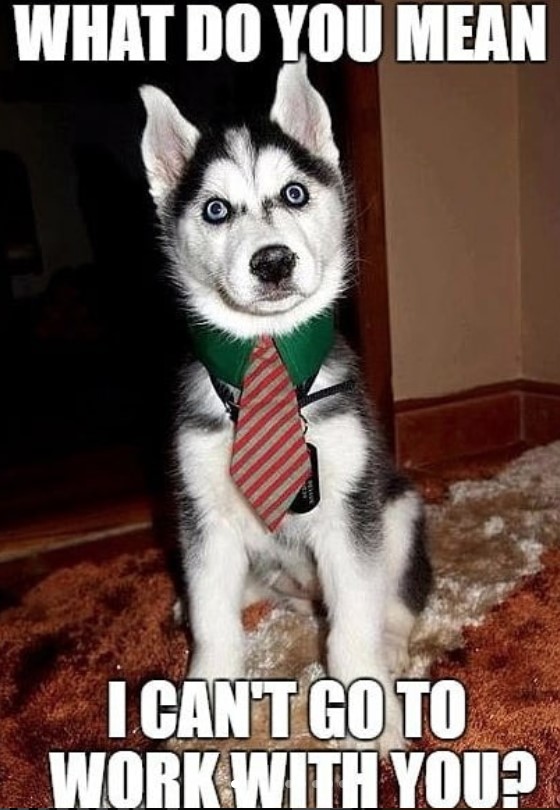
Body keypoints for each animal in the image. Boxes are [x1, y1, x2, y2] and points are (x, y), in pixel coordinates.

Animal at [141, 58, 434, 752]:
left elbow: (352, 628)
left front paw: (372, 713)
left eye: (295, 194)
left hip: (398, 509)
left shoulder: (351, 515)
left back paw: (393, 644)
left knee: (395, 599)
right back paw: (190, 600)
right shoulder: (203, 514)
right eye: (216, 209)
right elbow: (215, 626)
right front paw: (201, 706)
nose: (272, 260)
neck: (267, 357)